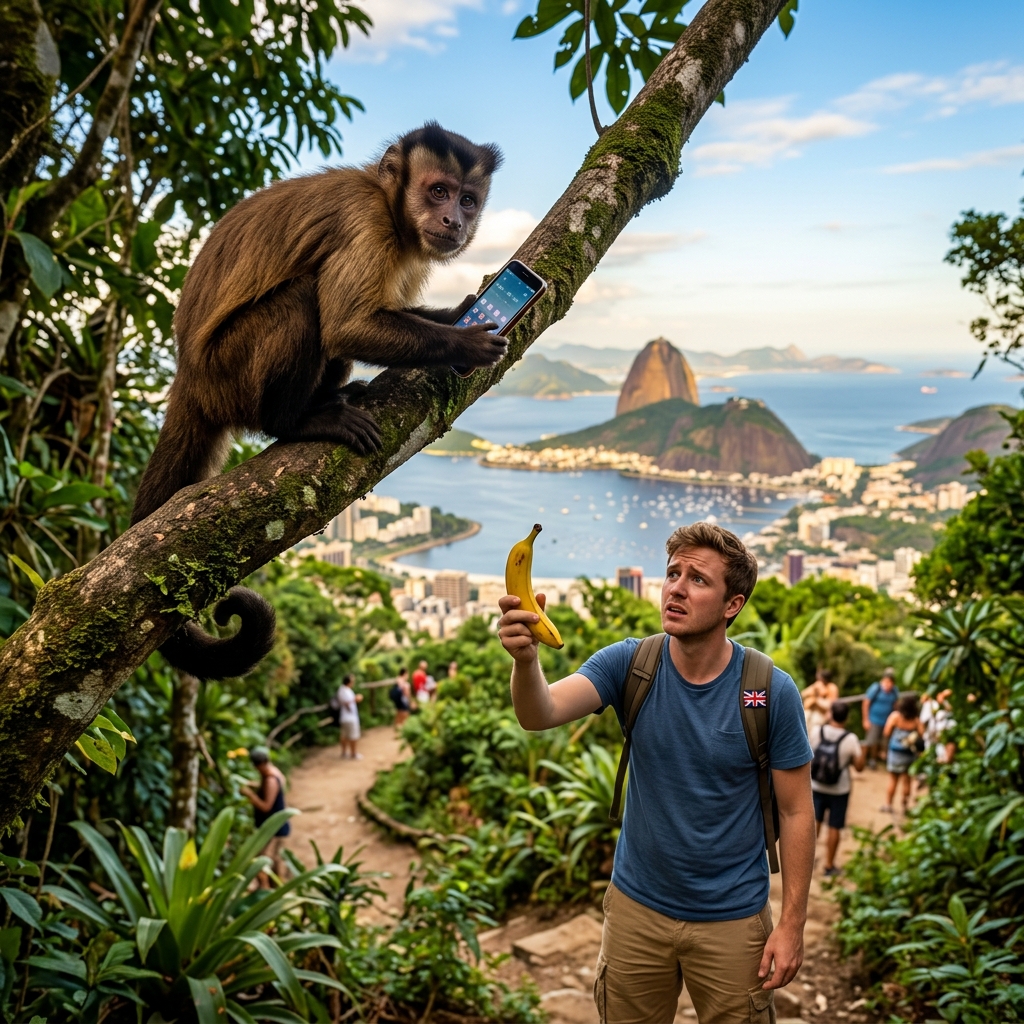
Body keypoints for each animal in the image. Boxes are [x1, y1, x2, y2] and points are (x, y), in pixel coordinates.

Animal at [131, 123, 504, 680]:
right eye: (438, 191)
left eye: (467, 199)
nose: (454, 220)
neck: (391, 208)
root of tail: (189, 379)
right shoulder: (365, 223)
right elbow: (348, 323)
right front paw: (465, 343)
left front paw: (464, 308)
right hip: (229, 372)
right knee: (307, 298)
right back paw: (296, 421)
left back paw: (334, 395)